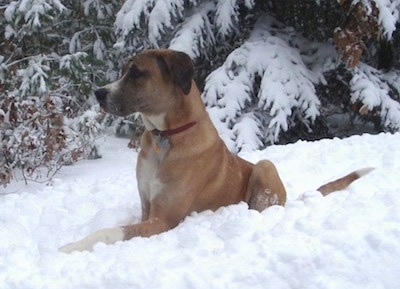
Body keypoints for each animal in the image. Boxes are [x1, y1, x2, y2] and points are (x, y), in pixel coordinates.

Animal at [59, 49, 372, 252]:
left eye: (136, 73)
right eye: (124, 71)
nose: (99, 93)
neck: (166, 136)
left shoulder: (164, 219)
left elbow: (108, 232)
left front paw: (72, 245)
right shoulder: (147, 207)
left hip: (265, 165)